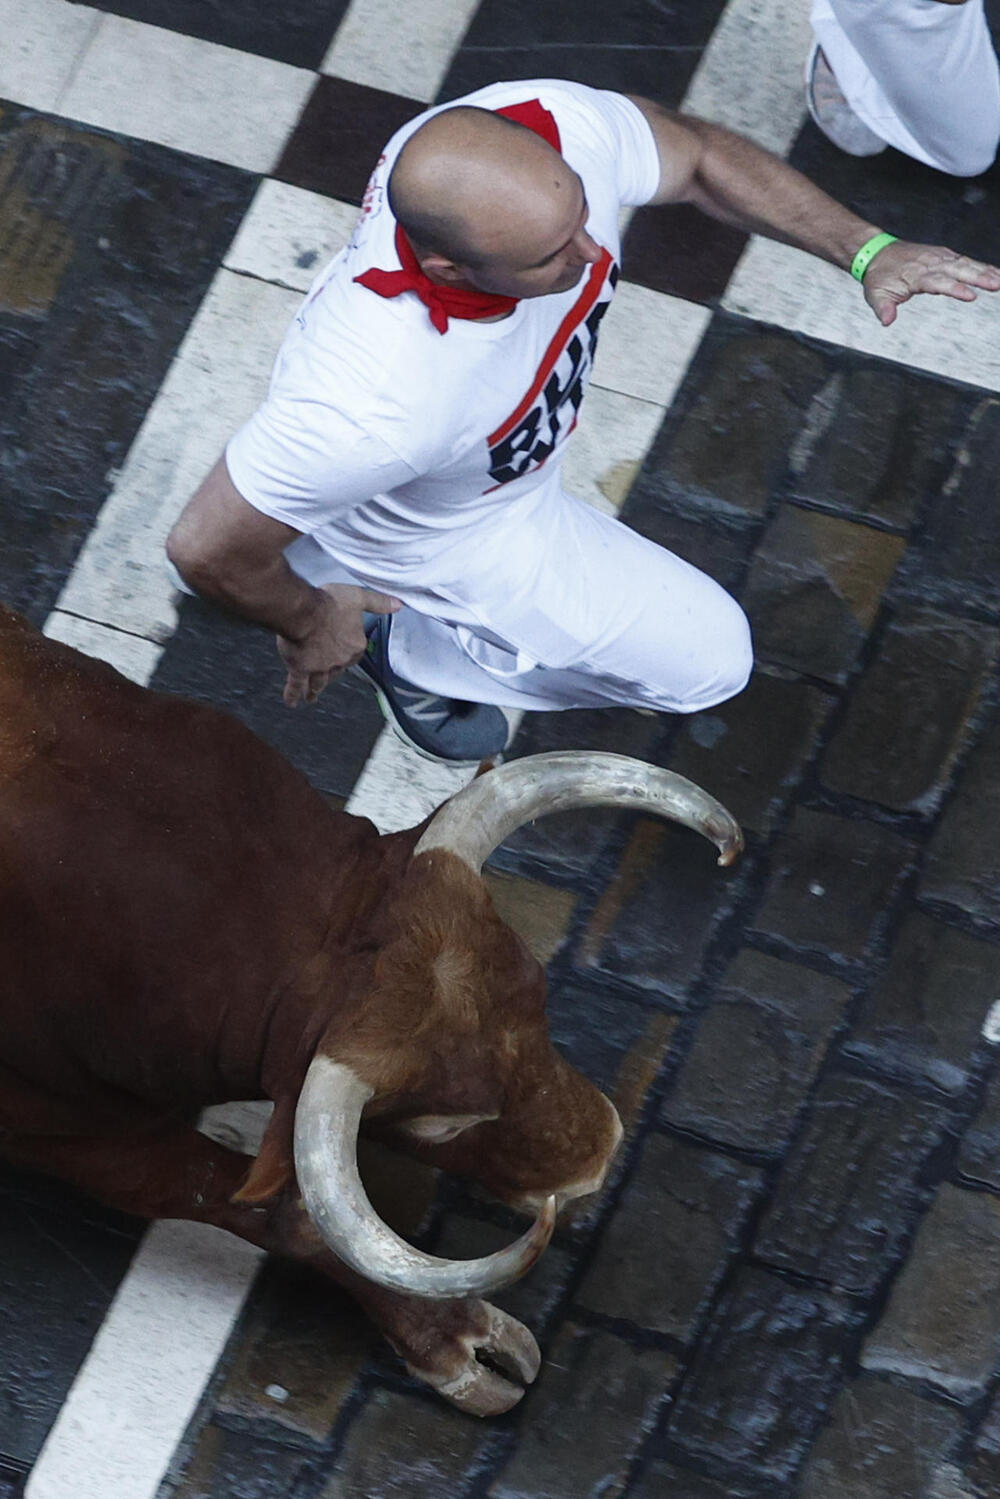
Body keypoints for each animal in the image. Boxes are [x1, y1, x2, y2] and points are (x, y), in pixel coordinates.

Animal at [0, 602, 743, 1409]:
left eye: (539, 993)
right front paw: (455, 1340)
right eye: (439, 1124)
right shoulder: (76, 1133)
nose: (598, 1161)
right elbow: (267, 1207)